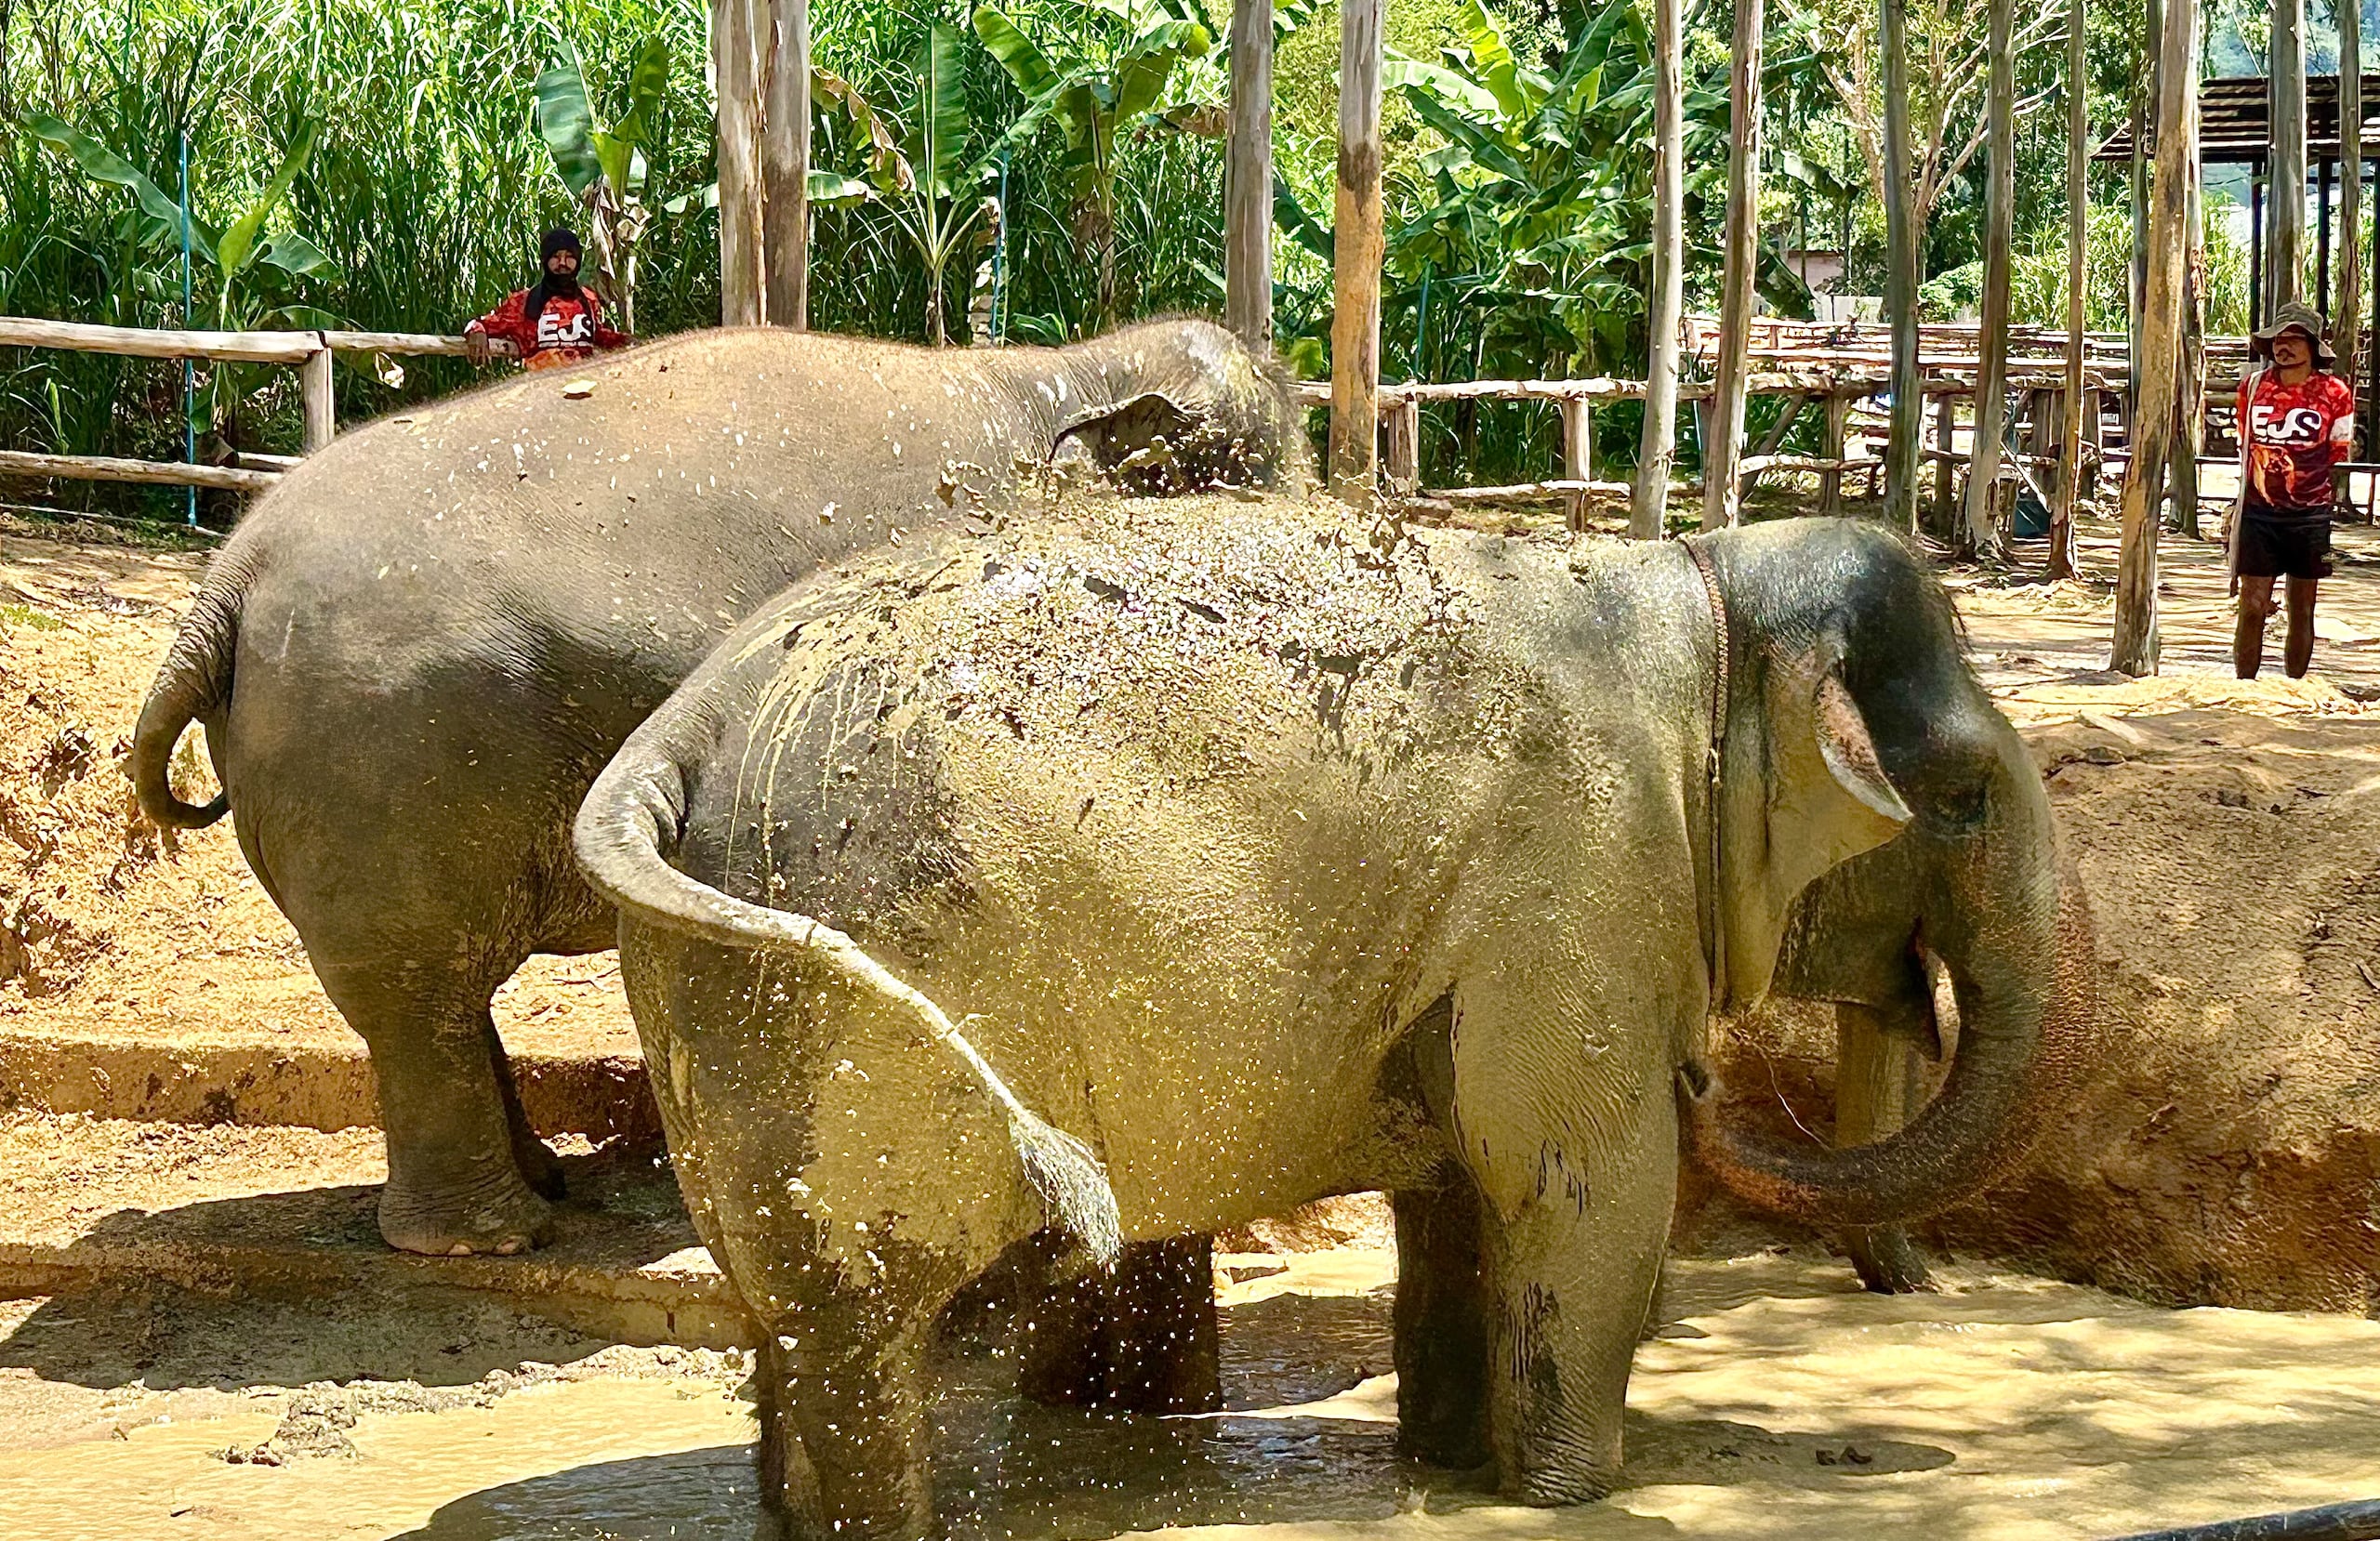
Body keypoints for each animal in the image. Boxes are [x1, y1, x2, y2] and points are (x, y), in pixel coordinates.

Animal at [125, 319, 1304, 1259]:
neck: (1068, 368)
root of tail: (227, 581)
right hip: (384, 754)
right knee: (420, 991)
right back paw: (494, 1237)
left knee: (435, 997)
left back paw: (546, 1185)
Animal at [571, 500, 2093, 1534]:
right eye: (1962, 796)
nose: (1715, 1077)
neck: (1704, 584)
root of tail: (675, 734)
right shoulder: (1587, 872)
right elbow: (1582, 1179)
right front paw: (1573, 1493)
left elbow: (1464, 1183)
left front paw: (1453, 1466)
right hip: (849, 990)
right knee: (860, 1321)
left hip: (724, 998)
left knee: (788, 1308)